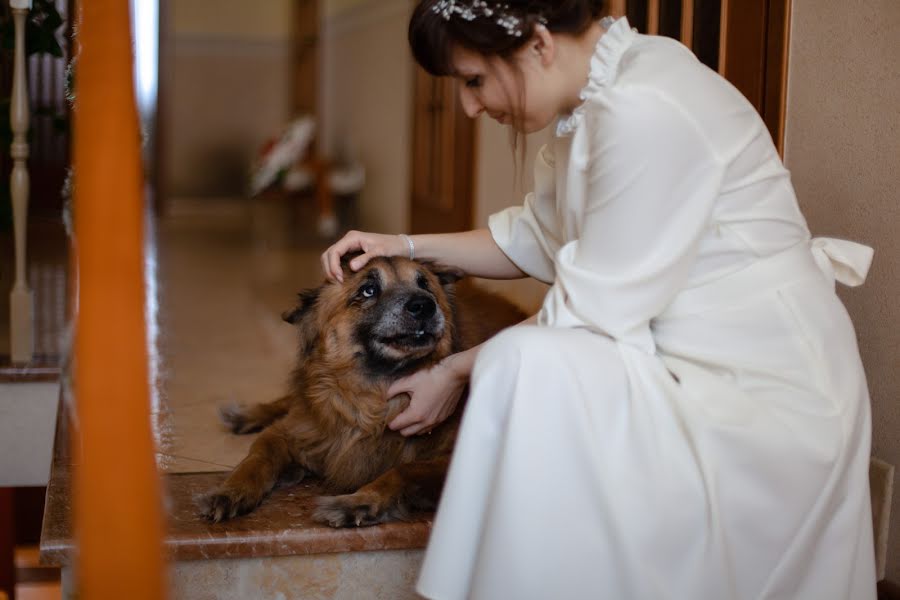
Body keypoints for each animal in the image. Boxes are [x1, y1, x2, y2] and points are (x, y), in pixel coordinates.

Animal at [196, 255, 520, 528]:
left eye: (425, 284)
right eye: (368, 290)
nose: (424, 305)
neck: (374, 397)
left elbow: (403, 470)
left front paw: (359, 502)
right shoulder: (295, 431)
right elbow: (256, 458)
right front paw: (229, 491)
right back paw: (247, 415)